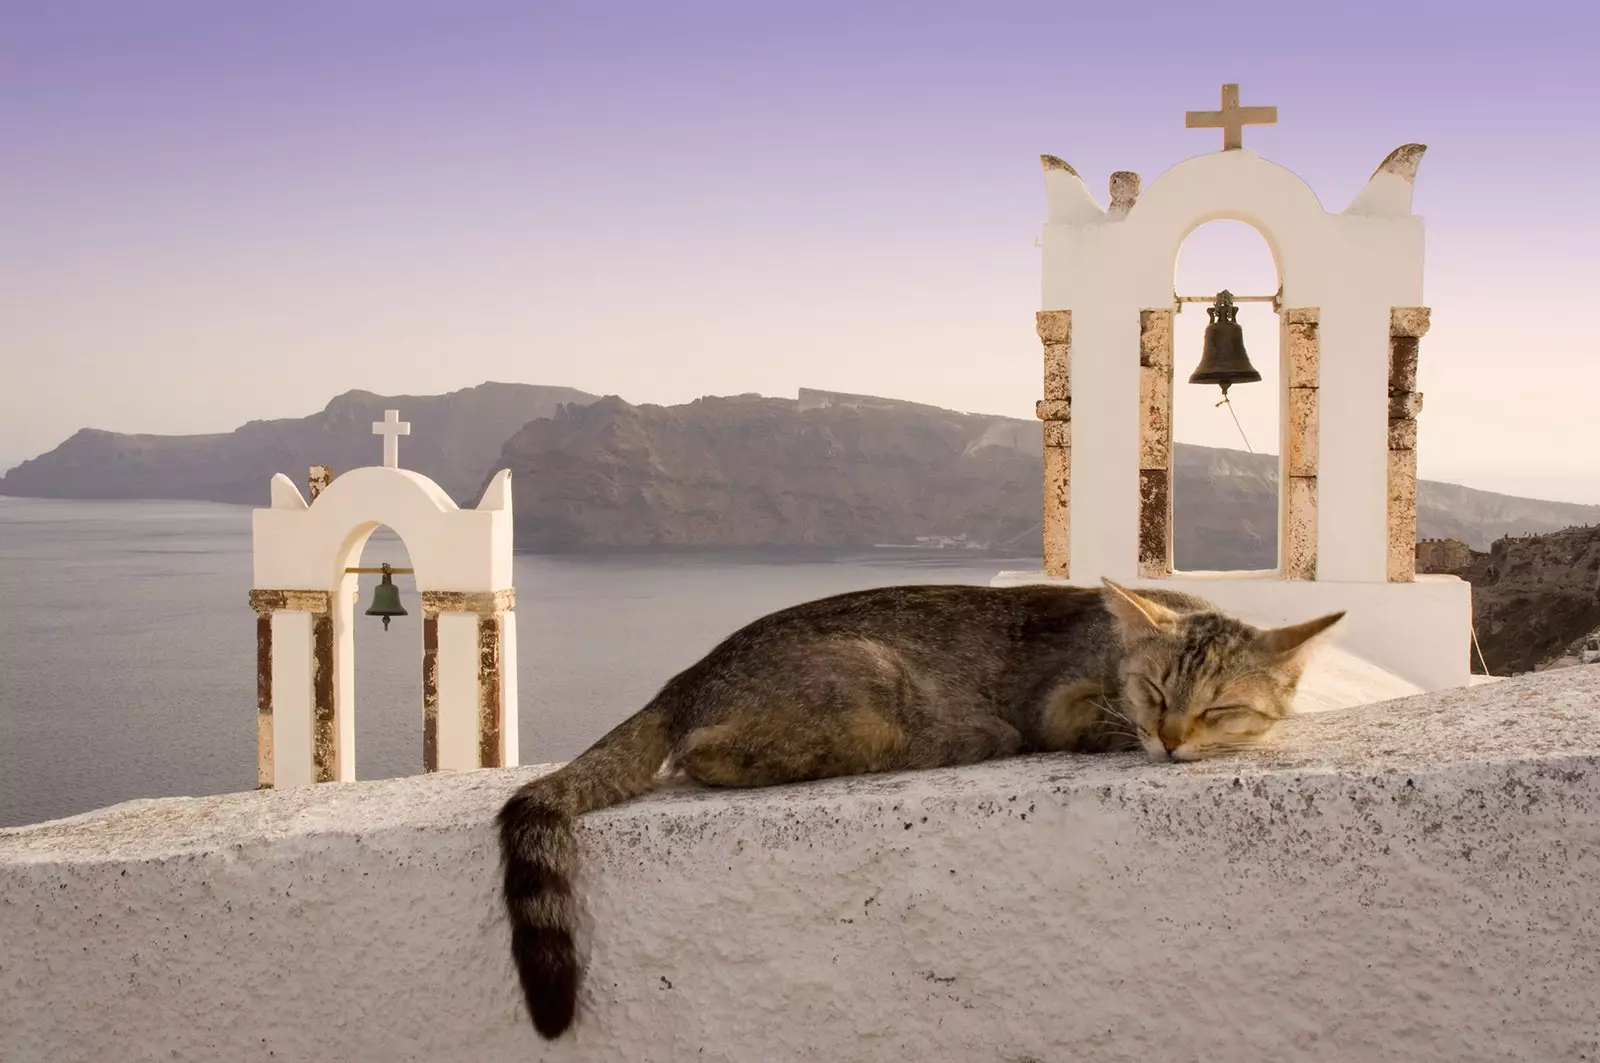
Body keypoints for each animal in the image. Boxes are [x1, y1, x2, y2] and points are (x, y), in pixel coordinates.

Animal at [492, 582, 1344, 1037]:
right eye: (1158, 695)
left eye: (1221, 706)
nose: (1170, 740)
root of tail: (690, 672)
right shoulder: (1061, 703)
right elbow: (1093, 720)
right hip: (872, 686)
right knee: (708, 755)